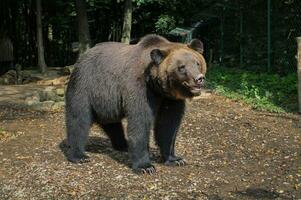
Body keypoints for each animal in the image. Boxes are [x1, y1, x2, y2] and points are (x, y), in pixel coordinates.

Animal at [65, 34, 206, 175]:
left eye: (197, 63)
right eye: (181, 67)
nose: (199, 79)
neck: (157, 87)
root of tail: (82, 57)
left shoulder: (171, 99)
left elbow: (169, 125)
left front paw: (175, 159)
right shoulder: (139, 88)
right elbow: (140, 122)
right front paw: (145, 166)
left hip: (106, 101)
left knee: (112, 123)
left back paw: (123, 145)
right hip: (86, 85)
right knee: (78, 119)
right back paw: (79, 155)